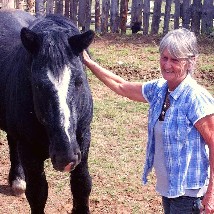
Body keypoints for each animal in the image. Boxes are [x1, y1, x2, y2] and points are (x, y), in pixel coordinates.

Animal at [0, 9, 94, 213]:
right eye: (37, 85)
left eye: (79, 81)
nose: (65, 157)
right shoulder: (29, 150)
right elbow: (37, 193)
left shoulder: (83, 138)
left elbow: (82, 185)